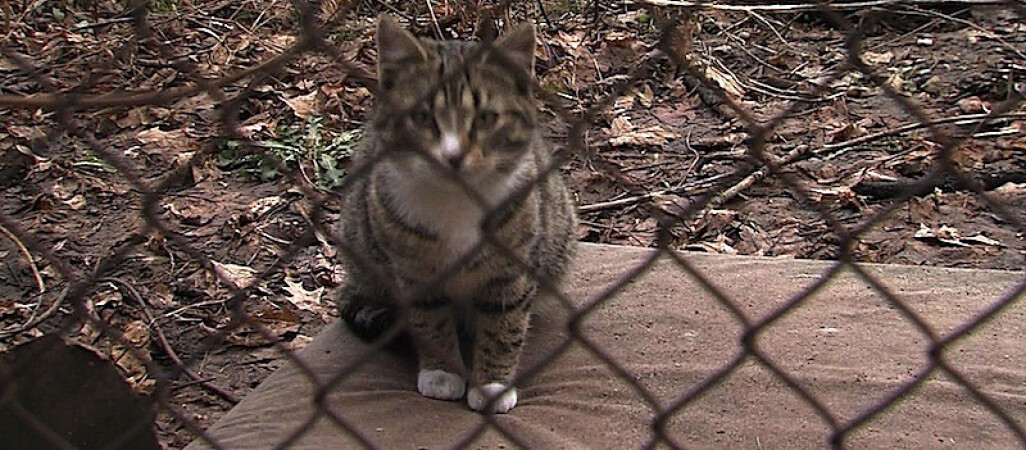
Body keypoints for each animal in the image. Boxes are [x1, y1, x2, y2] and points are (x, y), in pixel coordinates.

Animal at [336, 15, 578, 414]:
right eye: (421, 116)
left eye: (486, 118)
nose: (452, 155)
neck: (458, 201)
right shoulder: (414, 272)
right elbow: (430, 322)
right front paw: (442, 374)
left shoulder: (511, 271)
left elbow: (504, 326)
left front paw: (492, 383)